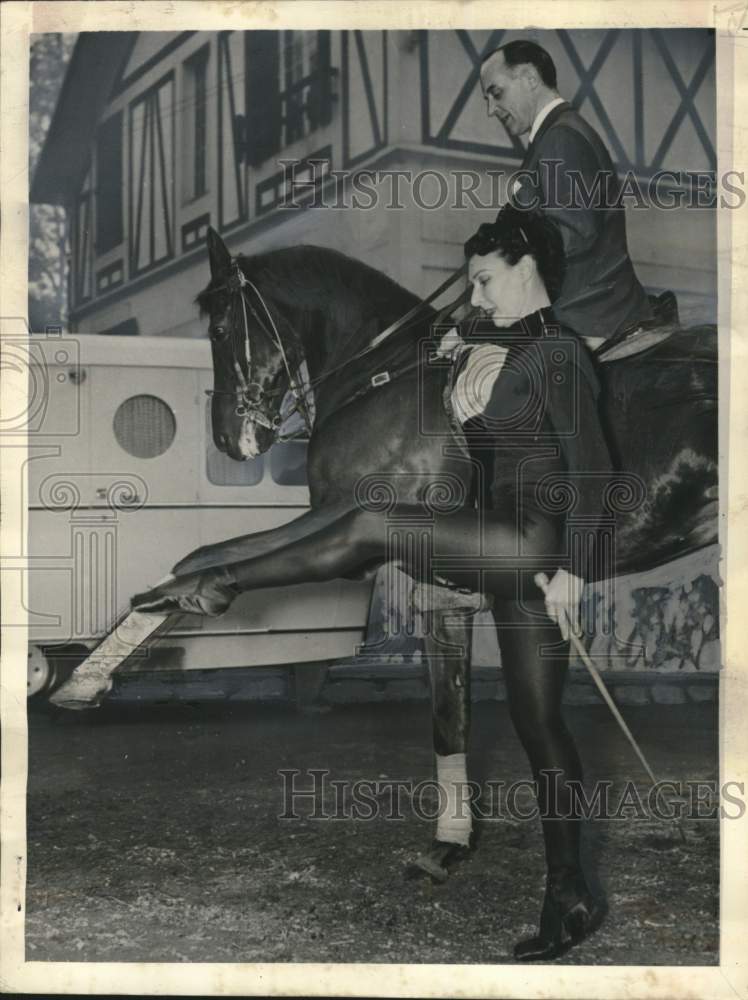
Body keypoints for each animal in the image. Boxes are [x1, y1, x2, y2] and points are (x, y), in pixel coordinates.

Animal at [136, 227, 720, 876]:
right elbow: (448, 722)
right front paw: (452, 842)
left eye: (218, 329)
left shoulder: (359, 524)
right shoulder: (425, 576)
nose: (228, 439)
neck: (382, 376)